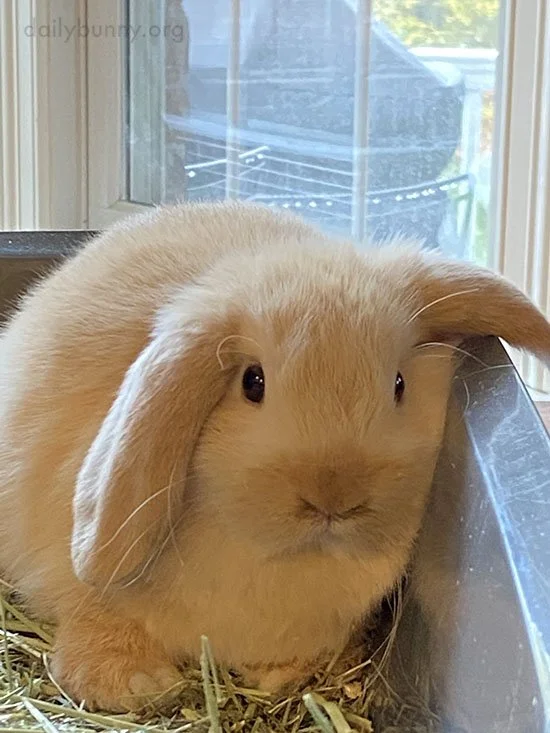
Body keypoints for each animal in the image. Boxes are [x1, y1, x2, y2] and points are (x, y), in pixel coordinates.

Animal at [0, 200, 549, 713]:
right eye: (253, 383)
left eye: (399, 384)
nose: (334, 498)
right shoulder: (81, 588)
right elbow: (96, 618)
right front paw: (138, 685)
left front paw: (285, 675)